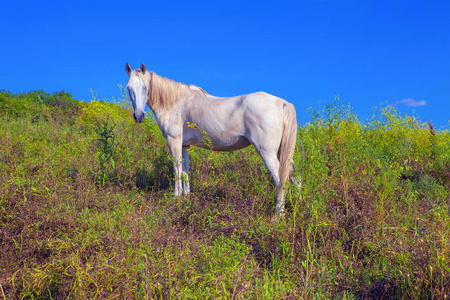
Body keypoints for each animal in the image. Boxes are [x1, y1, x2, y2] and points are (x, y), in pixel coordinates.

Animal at [125, 62, 298, 216]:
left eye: (145, 87)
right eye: (129, 88)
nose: (139, 116)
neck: (175, 102)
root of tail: (282, 103)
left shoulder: (173, 141)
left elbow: (177, 168)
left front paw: (176, 198)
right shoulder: (185, 146)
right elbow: (185, 171)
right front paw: (186, 198)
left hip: (267, 152)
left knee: (280, 180)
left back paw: (277, 216)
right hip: (281, 153)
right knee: (294, 177)